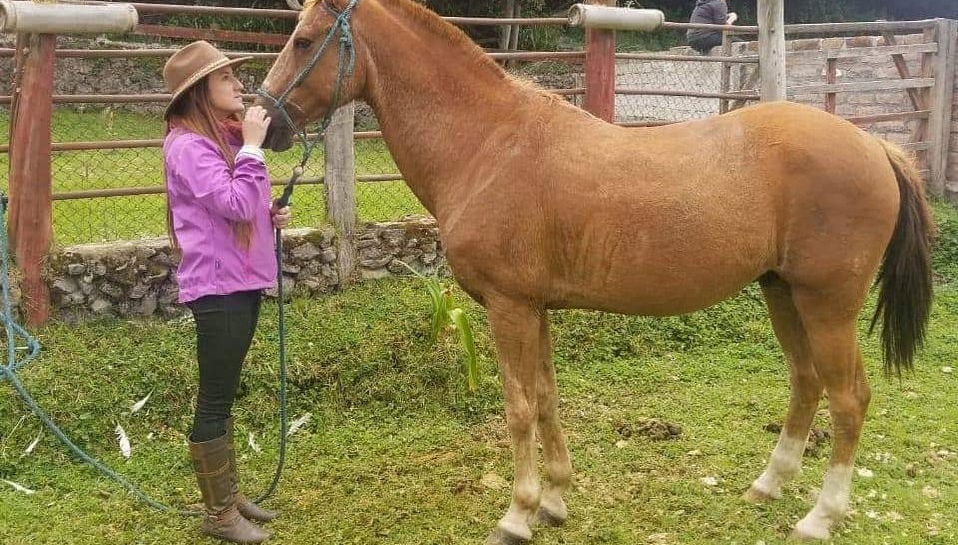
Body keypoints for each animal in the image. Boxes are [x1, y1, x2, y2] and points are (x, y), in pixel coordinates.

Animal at [256, 0, 934, 541]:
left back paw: (820, 516)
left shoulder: (508, 308)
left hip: (827, 305)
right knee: (806, 382)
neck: (490, 144)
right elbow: (548, 398)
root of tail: (877, 146)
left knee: (849, 399)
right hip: (782, 294)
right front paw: (554, 500)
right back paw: (768, 485)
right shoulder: (535, 309)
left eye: (305, 39)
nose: (265, 122)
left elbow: (519, 407)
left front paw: (518, 514)